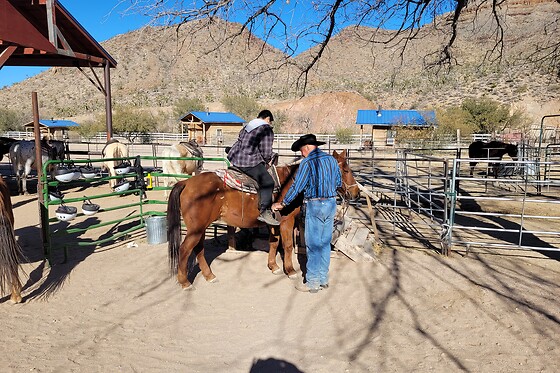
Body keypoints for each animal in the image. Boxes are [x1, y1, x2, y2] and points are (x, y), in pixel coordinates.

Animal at [166, 150, 360, 290]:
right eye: (346, 170)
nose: (356, 193)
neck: (290, 181)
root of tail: (186, 183)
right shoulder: (286, 221)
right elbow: (287, 245)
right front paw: (290, 270)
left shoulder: (273, 223)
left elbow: (274, 243)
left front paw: (273, 266)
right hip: (196, 228)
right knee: (185, 249)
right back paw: (185, 282)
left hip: (200, 228)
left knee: (198, 248)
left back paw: (209, 276)